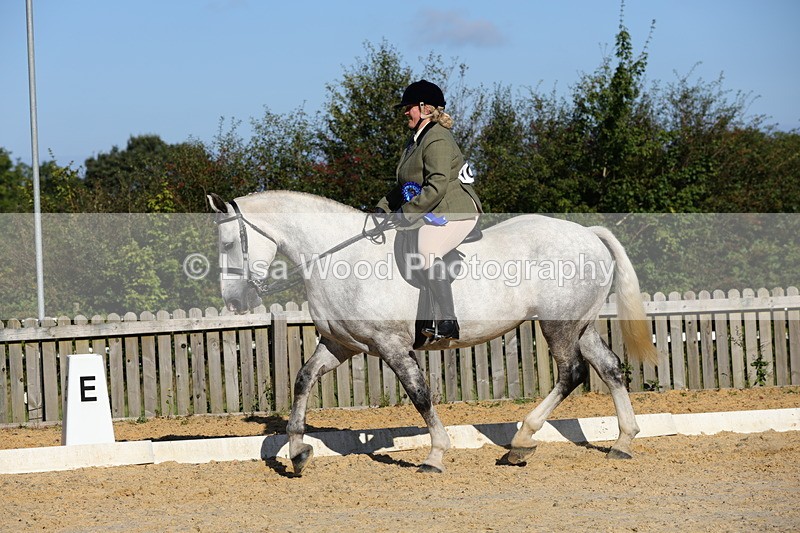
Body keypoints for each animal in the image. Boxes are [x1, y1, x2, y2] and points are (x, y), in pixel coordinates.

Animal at [207, 190, 658, 474]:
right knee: (610, 368)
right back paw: (623, 442)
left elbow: (419, 395)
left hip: (558, 325)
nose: (234, 302)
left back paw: (521, 443)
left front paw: (436, 455)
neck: (339, 259)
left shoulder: (391, 345)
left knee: (572, 373)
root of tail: (588, 234)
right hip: (581, 325)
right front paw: (298, 451)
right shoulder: (340, 345)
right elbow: (303, 380)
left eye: (228, 244)